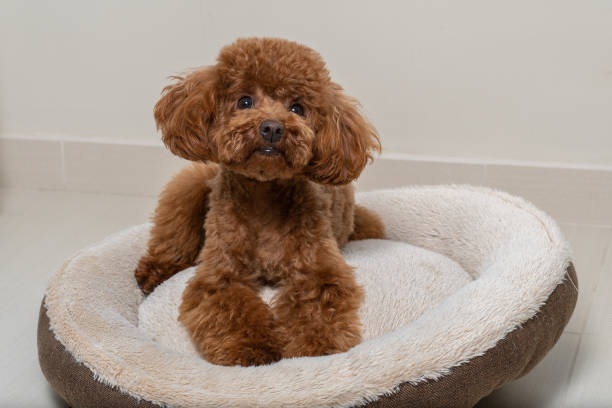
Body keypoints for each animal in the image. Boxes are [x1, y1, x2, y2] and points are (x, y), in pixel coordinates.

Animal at [135, 38, 382, 366]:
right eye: (244, 101)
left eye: (297, 108)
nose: (272, 128)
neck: (263, 199)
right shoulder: (221, 274)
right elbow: (232, 307)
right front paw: (251, 351)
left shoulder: (319, 269)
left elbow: (317, 306)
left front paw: (315, 349)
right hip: (189, 186)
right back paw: (155, 271)